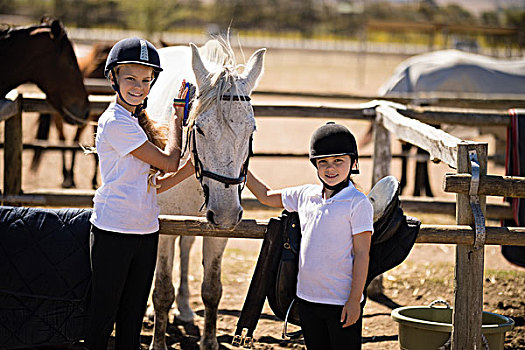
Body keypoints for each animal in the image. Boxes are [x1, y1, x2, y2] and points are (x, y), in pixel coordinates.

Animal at [144, 39, 264, 348]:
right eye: (199, 128)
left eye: (251, 130)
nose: (224, 214)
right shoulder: (164, 229)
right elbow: (162, 290)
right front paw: (158, 341)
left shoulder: (221, 232)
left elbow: (212, 289)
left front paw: (208, 341)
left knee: (186, 249)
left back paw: (185, 308)